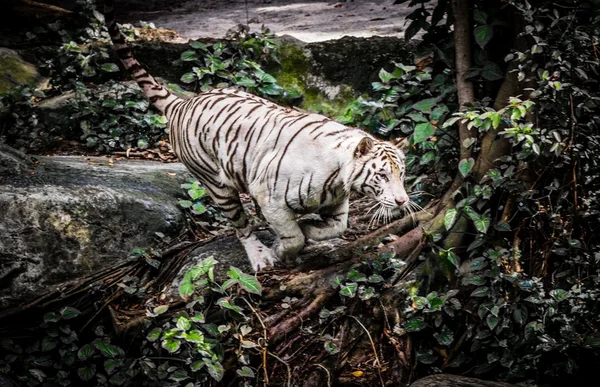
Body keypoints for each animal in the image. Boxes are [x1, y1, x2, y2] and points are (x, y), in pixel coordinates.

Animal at [105, 1, 410, 272]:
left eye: (402, 174)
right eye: (382, 175)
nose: (402, 202)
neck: (338, 179)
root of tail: (183, 103)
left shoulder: (336, 203)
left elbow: (336, 227)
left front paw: (310, 228)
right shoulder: (271, 197)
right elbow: (292, 235)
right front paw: (282, 250)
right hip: (216, 183)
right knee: (242, 225)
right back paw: (260, 257)